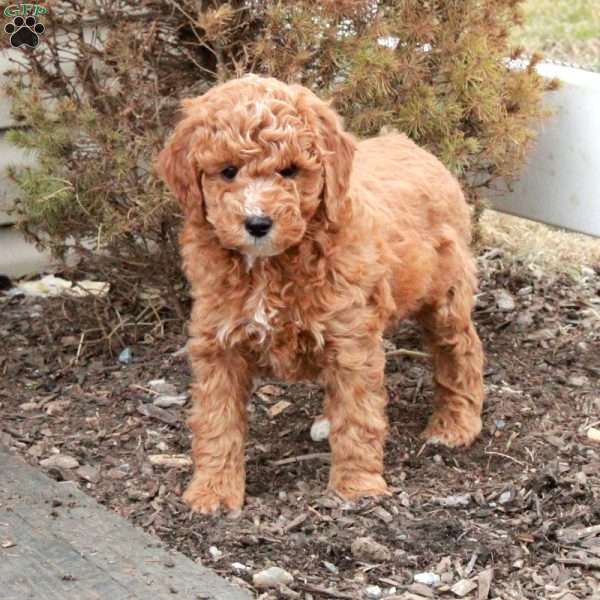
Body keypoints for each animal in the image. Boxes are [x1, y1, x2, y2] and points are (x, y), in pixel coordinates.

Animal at [157, 75, 486, 512]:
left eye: (291, 171)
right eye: (227, 171)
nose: (257, 223)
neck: (269, 267)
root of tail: (409, 143)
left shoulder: (351, 340)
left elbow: (358, 416)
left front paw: (357, 487)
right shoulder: (218, 342)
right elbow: (216, 420)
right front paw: (213, 491)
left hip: (446, 293)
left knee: (461, 350)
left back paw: (455, 425)